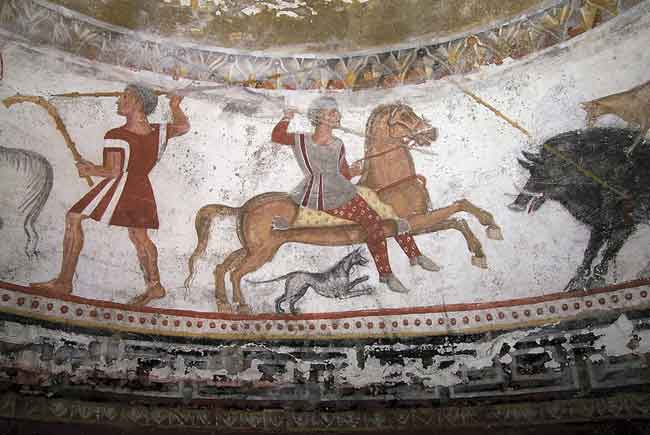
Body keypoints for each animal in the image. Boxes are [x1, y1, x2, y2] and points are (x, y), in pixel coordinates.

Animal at [185, 103, 503, 313]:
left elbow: (455, 221)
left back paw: (223, 302)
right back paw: (240, 305)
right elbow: (458, 208)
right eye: (403, 118)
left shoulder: (414, 222)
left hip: (255, 247)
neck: (389, 183)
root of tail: (246, 205)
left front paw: (476, 251)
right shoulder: (410, 222)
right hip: (263, 251)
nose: (432, 132)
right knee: (236, 272)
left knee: (223, 265)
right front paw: (490, 225)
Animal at [508, 128, 650, 291]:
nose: (516, 204)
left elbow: (601, 252)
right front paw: (581, 281)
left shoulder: (617, 224)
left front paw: (587, 281)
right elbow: (595, 253)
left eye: (541, 172)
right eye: (531, 172)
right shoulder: (611, 224)